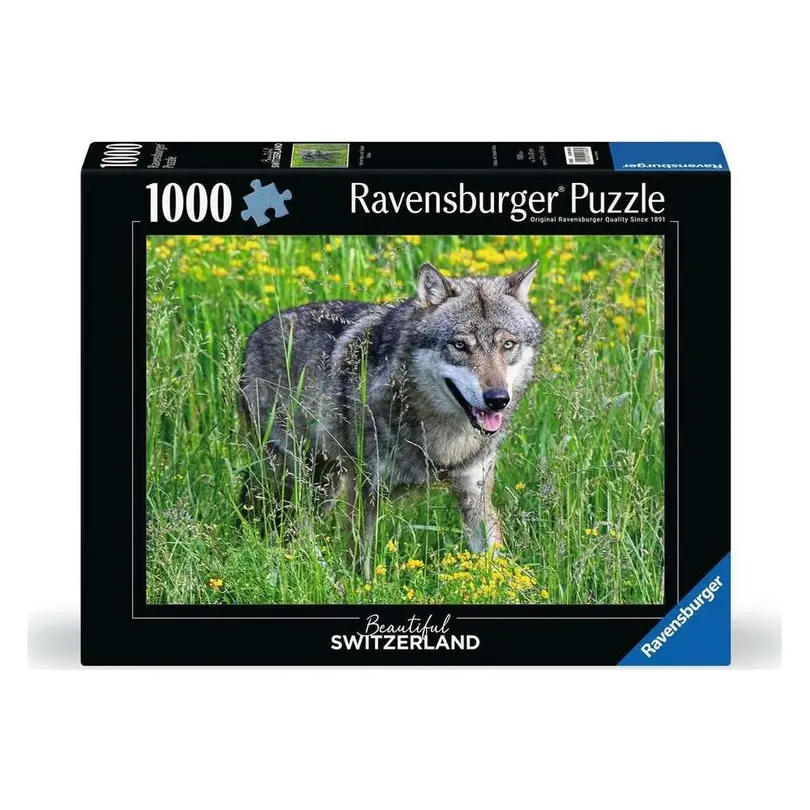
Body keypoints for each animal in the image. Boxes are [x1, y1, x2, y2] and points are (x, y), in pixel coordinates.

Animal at [240, 261, 541, 580]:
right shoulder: (363, 492)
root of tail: (255, 334)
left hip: (326, 484)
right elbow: (358, 559)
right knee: (293, 527)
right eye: (460, 345)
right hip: (300, 478)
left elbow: (495, 563)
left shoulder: (475, 494)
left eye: (508, 344)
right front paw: (359, 587)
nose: (497, 399)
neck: (443, 438)